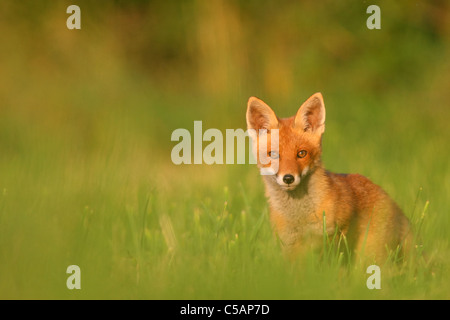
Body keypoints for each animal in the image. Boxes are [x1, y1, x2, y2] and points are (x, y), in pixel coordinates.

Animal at [246, 92, 412, 262]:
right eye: (272, 154)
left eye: (302, 153)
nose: (288, 178)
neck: (299, 216)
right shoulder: (288, 244)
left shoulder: (334, 234)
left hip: (370, 253)